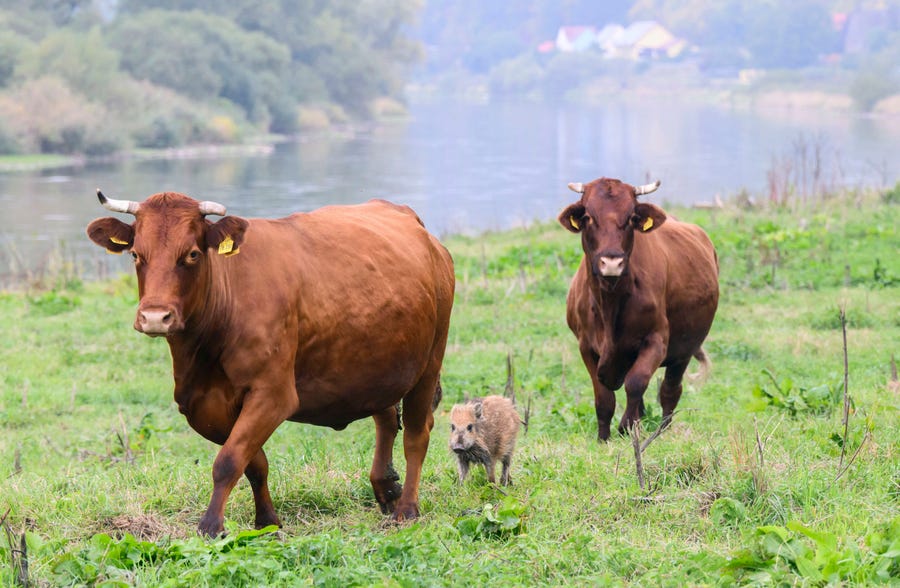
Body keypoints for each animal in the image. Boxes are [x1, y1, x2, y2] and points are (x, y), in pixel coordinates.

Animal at [87, 191, 454, 536]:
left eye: (191, 253)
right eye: (136, 254)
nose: (154, 317)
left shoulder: (273, 393)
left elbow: (228, 460)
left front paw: (211, 526)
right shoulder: (201, 403)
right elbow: (253, 462)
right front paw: (267, 521)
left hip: (430, 361)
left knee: (417, 434)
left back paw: (406, 508)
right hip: (378, 365)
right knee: (387, 416)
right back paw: (385, 486)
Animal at [560, 178, 720, 440]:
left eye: (631, 217)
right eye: (589, 217)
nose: (612, 262)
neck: (610, 303)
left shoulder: (657, 340)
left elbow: (636, 383)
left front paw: (626, 426)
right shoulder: (586, 346)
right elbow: (603, 397)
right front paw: (603, 438)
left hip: (684, 349)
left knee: (670, 390)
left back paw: (662, 430)